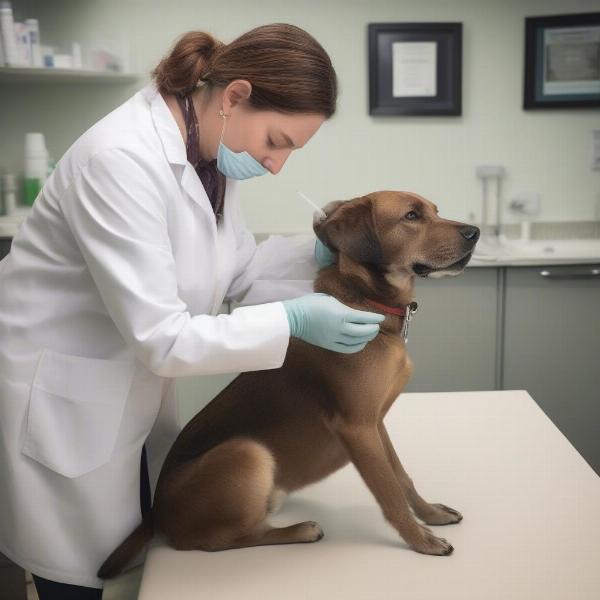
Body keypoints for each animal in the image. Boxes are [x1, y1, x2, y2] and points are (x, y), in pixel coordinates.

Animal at [99, 190, 482, 580]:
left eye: (435, 210)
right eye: (412, 216)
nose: (475, 232)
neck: (367, 302)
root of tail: (155, 512)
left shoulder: (375, 422)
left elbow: (401, 475)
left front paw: (430, 513)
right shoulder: (357, 427)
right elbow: (388, 490)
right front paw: (420, 540)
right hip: (246, 453)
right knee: (221, 540)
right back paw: (299, 530)